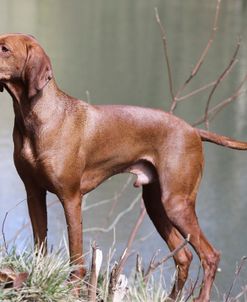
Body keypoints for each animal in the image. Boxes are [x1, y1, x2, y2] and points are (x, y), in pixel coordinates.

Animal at [0, 33, 247, 300]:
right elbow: (40, 247)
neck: (36, 118)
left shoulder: (71, 197)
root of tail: (193, 130)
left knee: (210, 256)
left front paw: (73, 289)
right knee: (184, 256)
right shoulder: (34, 192)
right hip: (156, 204)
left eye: (4, 48)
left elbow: (77, 256)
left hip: (177, 204)